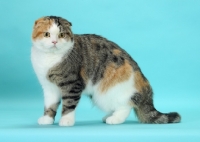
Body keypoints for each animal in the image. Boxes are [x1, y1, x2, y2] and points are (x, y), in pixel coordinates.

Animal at [30, 15, 181, 126]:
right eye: (47, 34)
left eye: (61, 35)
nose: (54, 42)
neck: (49, 59)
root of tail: (145, 88)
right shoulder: (49, 87)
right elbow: (50, 105)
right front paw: (47, 119)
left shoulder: (72, 84)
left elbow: (69, 104)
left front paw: (66, 120)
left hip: (107, 93)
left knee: (126, 105)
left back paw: (115, 119)